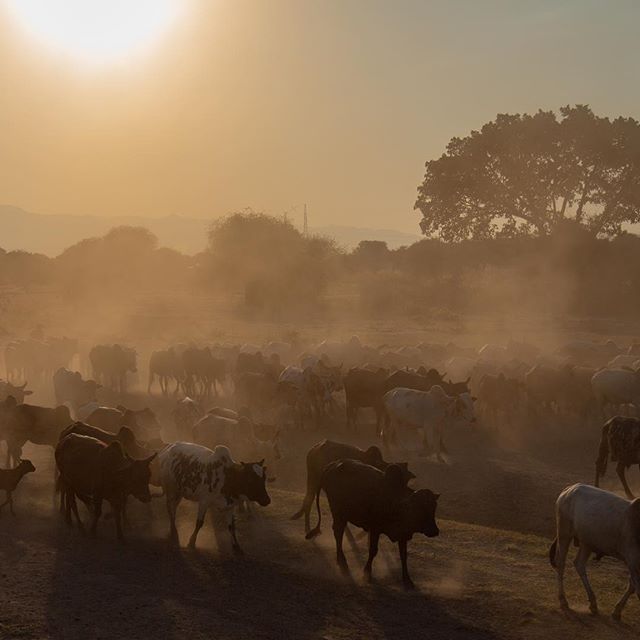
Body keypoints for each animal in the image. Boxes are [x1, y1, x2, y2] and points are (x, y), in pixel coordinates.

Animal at [306, 460, 440, 592]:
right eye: (419, 508)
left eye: (434, 508)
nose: (434, 531)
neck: (396, 502)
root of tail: (331, 466)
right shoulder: (375, 529)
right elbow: (373, 551)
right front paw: (367, 574)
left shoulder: (403, 535)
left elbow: (403, 556)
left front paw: (407, 581)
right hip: (338, 512)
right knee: (338, 533)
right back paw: (342, 562)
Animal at [548, 484, 640, 620]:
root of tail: (569, 489)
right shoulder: (632, 560)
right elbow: (636, 588)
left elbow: (632, 586)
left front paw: (617, 611)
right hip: (564, 533)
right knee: (561, 563)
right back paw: (563, 600)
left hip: (587, 543)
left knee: (579, 564)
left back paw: (593, 603)